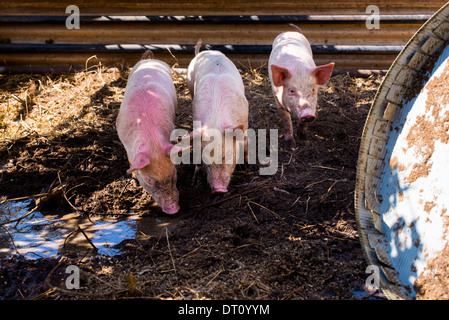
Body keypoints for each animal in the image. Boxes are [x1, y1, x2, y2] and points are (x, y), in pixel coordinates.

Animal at [117, 50, 184, 215]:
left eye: (173, 172)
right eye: (148, 179)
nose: (173, 210)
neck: (151, 141)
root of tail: (150, 61)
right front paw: (132, 174)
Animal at [186, 41, 248, 194]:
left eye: (227, 156)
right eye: (206, 161)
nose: (219, 189)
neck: (216, 121)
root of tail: (203, 52)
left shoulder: (244, 120)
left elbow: (245, 144)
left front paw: (246, 166)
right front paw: (194, 183)